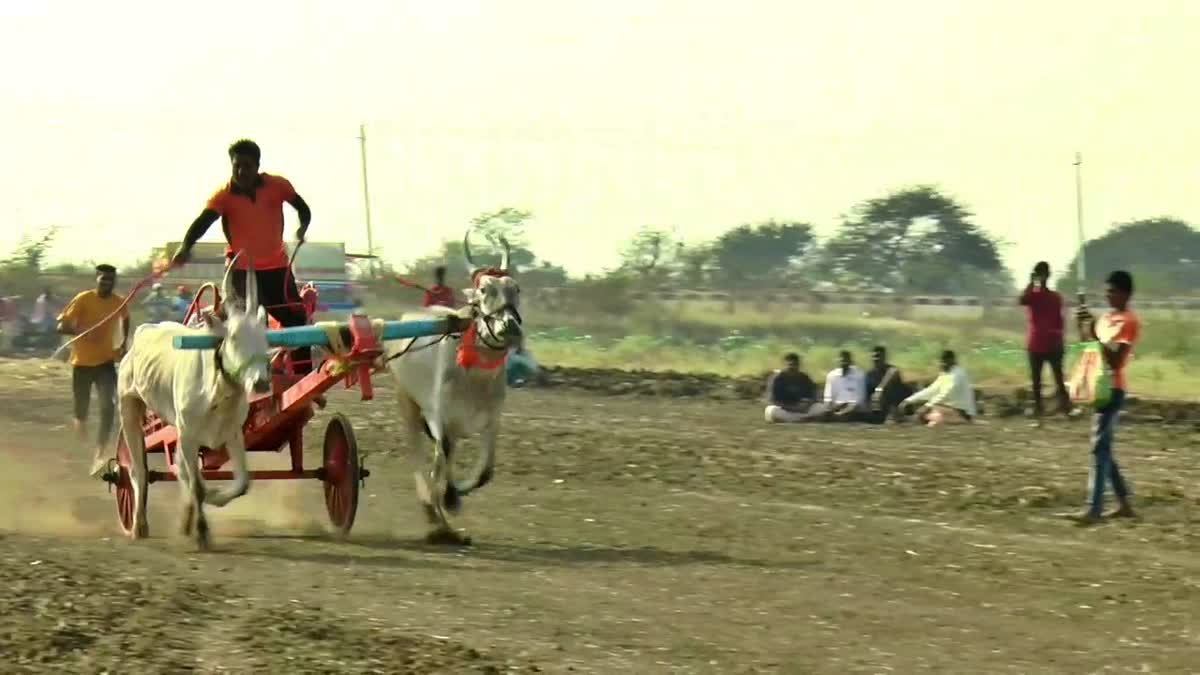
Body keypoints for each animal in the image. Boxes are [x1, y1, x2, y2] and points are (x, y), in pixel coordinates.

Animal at [116, 252, 272, 547]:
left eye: (266, 337)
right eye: (234, 337)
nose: (261, 382)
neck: (217, 391)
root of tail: (142, 332)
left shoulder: (233, 433)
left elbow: (242, 483)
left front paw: (214, 498)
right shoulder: (188, 434)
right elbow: (197, 484)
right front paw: (201, 532)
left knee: (179, 469)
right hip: (129, 406)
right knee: (138, 471)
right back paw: (139, 525)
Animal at [381, 229, 518, 540]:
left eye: (516, 289)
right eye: (484, 290)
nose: (511, 327)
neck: (476, 377)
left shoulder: (492, 420)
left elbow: (485, 472)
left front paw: (455, 496)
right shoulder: (438, 416)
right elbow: (440, 456)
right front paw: (446, 501)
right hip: (407, 401)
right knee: (418, 453)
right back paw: (430, 508)